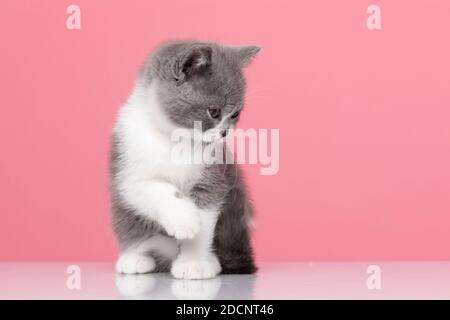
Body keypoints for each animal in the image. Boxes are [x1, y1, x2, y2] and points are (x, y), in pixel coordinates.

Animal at [110, 40, 260, 280]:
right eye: (214, 111)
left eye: (236, 114)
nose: (224, 133)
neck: (177, 140)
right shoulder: (127, 170)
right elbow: (155, 188)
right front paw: (183, 218)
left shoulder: (214, 177)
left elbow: (204, 220)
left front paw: (194, 262)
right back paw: (136, 258)